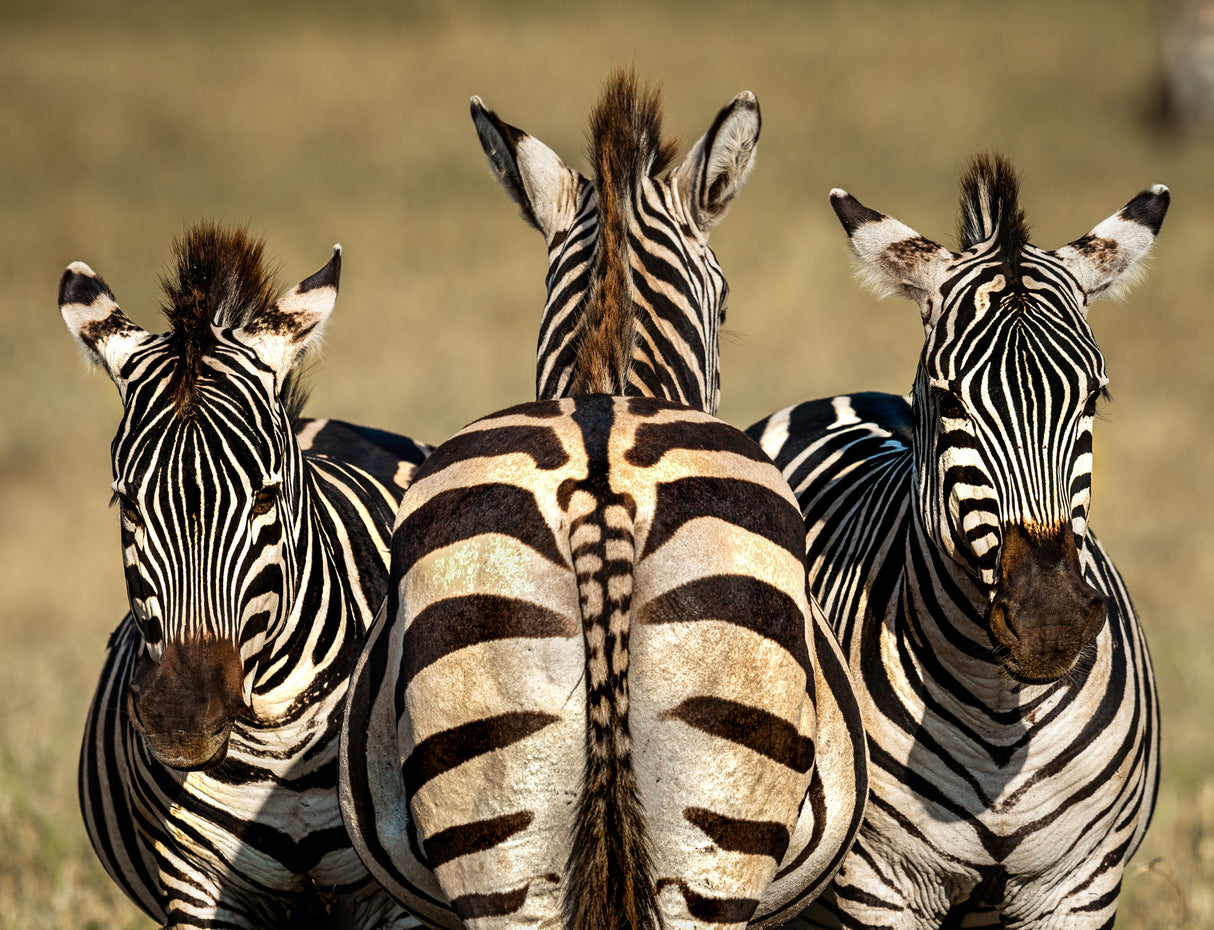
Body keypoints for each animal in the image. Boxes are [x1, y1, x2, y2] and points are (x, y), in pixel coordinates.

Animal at [62, 223, 430, 929]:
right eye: (127, 505)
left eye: (265, 496)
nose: (180, 721)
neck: (278, 750)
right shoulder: (197, 886)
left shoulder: (394, 897)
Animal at [748, 155, 1168, 928]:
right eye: (948, 400)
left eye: (1095, 397)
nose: (1049, 622)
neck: (1003, 709)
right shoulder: (880, 886)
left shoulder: (1081, 886)